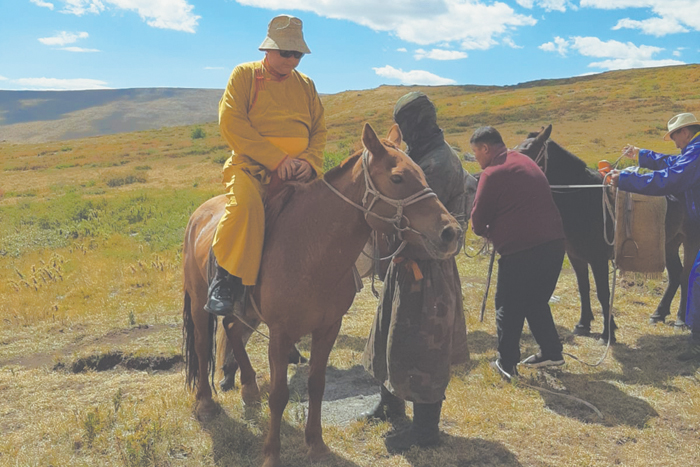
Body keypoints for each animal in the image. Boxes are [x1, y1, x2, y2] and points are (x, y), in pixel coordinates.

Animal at [183, 123, 462, 467]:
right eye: (397, 178)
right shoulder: (280, 333)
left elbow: (317, 385)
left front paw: (315, 444)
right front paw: (272, 454)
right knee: (201, 344)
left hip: (247, 311)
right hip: (200, 302)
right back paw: (206, 403)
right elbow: (279, 395)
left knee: (232, 329)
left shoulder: (328, 327)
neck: (310, 250)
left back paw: (248, 390)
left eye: (424, 174)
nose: (450, 232)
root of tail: (199, 215)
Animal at [516, 124, 696, 344]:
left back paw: (680, 319)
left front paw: (607, 333)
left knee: (686, 275)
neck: (582, 198)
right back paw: (658, 314)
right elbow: (584, 288)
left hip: (690, 240)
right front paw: (583, 324)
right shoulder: (576, 256)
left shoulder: (598, 258)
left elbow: (603, 293)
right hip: (669, 243)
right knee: (676, 275)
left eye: (526, 152)